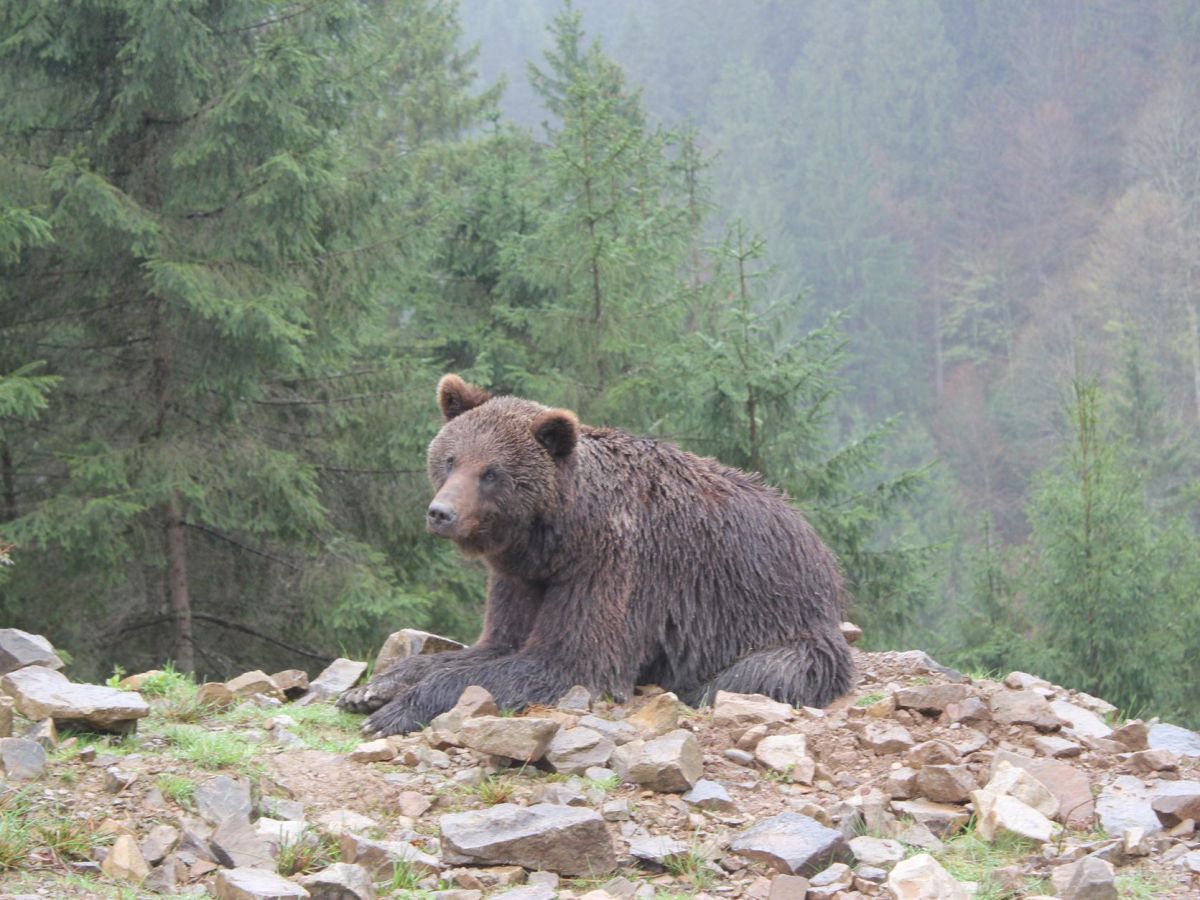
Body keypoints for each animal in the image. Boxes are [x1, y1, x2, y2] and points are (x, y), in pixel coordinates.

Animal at [338, 374, 855, 736]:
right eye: (449, 459)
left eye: (492, 472)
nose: (440, 513)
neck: (558, 537)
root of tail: (819, 548)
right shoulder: (522, 577)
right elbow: (492, 645)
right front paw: (370, 689)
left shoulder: (613, 567)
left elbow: (569, 661)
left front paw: (395, 711)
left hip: (782, 624)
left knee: (754, 675)